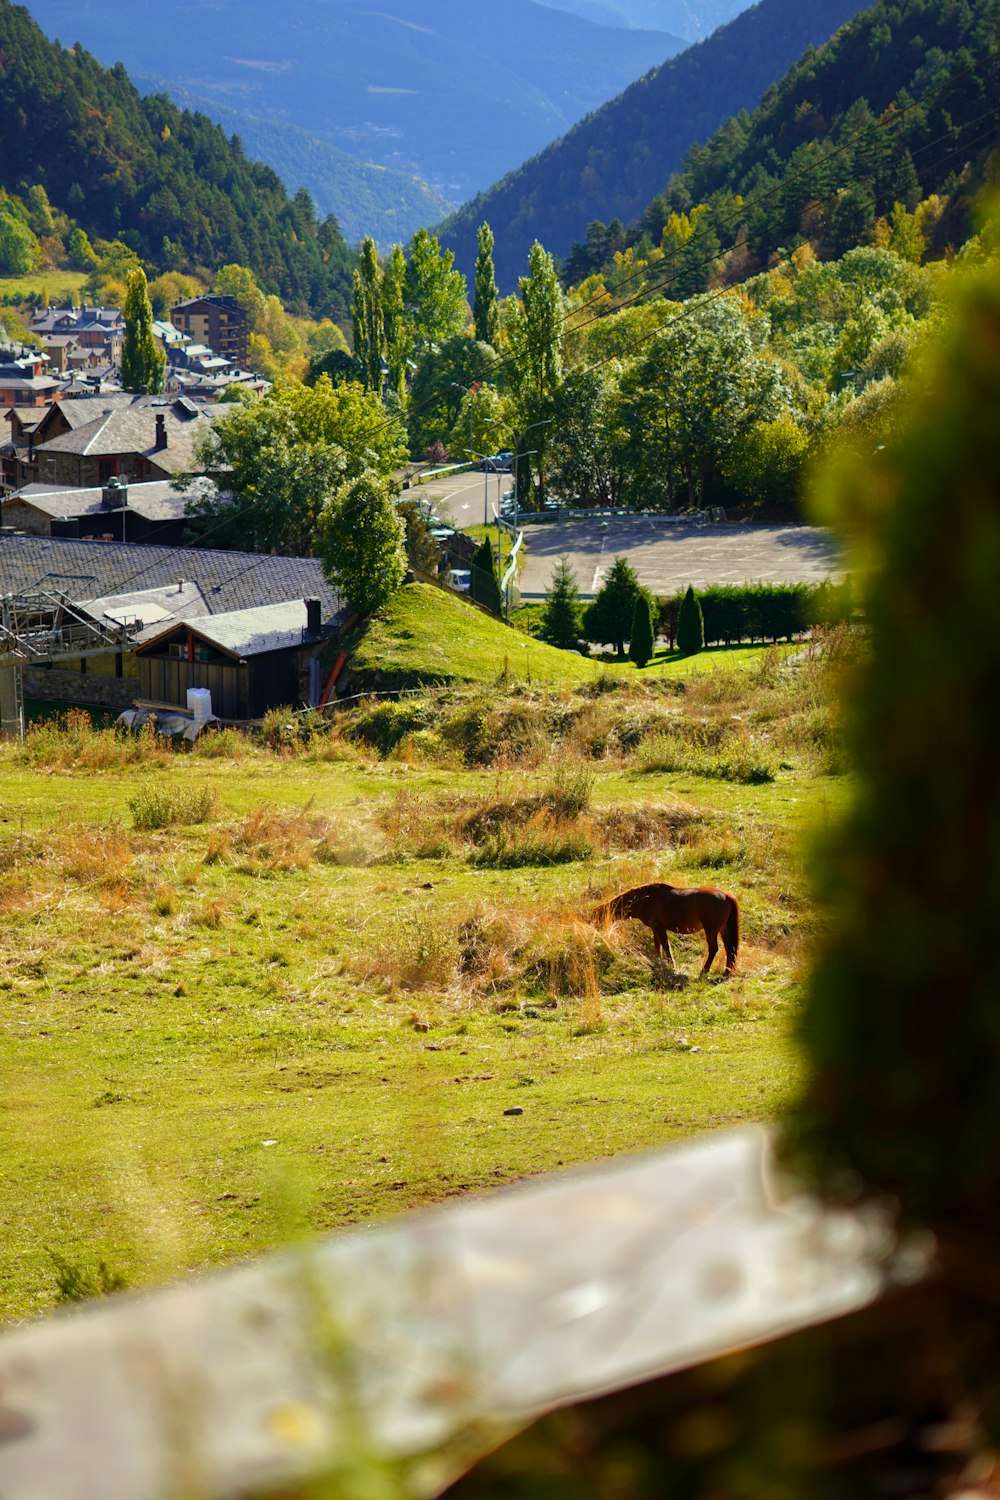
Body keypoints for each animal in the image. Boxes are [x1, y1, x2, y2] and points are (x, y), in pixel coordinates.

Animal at [590, 882, 740, 978]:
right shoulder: (655, 928)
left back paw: (704, 970)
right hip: (723, 929)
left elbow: (665, 946)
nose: (594, 933)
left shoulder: (659, 927)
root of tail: (726, 895)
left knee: (714, 949)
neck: (645, 899)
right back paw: (726, 972)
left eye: (597, 918)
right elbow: (658, 946)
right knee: (730, 949)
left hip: (711, 930)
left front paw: (671, 964)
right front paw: (659, 962)